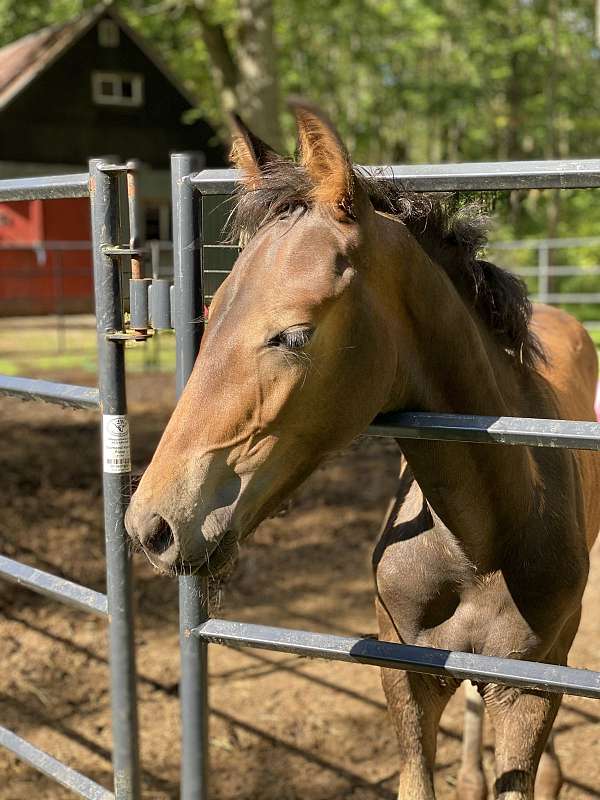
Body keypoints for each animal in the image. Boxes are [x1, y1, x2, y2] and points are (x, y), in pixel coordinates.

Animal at [126, 103, 600, 796]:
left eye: (294, 334)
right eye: (208, 318)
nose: (151, 525)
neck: (481, 544)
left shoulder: (531, 691)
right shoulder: (404, 676)